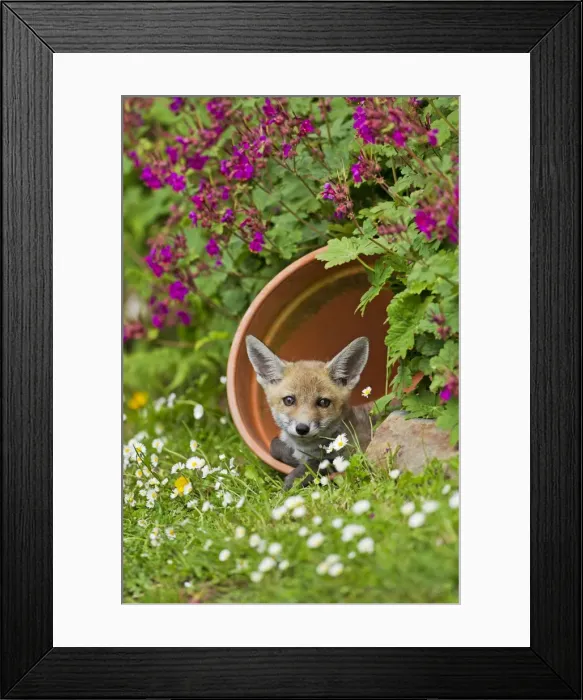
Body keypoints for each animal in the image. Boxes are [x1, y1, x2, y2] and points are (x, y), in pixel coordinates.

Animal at [245, 335, 373, 490]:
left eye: (323, 402)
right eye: (289, 400)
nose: (302, 428)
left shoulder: (355, 451)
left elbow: (321, 462)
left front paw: (294, 479)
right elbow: (273, 446)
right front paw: (291, 458)